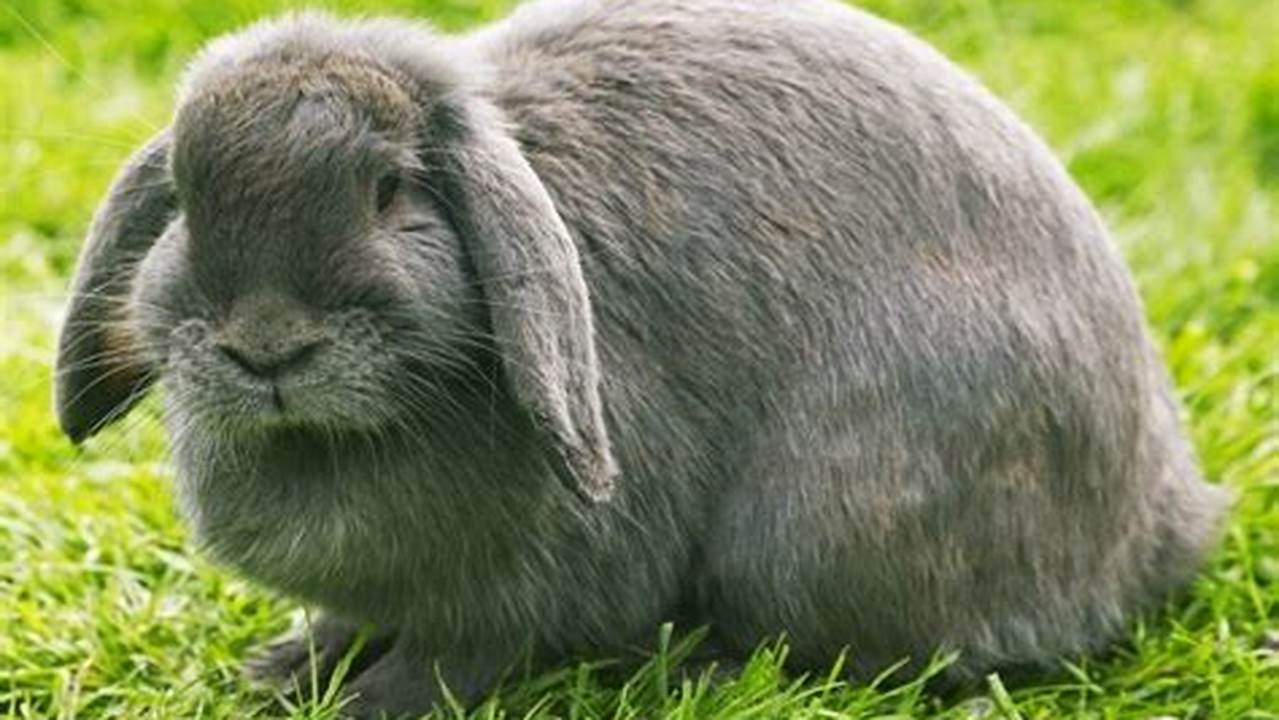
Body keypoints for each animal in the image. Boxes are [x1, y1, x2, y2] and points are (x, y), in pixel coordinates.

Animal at [53, 0, 1230, 716]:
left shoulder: (533, 580)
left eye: (390, 191)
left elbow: (459, 652)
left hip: (813, 525)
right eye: (186, 200)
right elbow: (359, 615)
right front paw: (283, 669)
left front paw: (367, 702)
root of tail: (1161, 521)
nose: (265, 346)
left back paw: (703, 671)